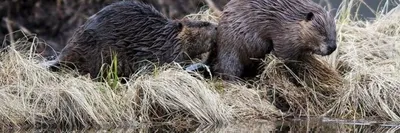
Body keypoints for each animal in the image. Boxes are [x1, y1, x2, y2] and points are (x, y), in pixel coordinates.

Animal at [197, 0, 338, 80]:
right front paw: (297, 75)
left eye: (335, 32)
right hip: (230, 47)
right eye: (321, 32)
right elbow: (284, 56)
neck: (292, 19)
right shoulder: (284, 35)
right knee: (228, 70)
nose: (332, 47)